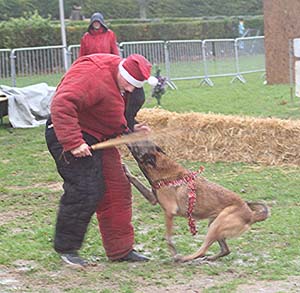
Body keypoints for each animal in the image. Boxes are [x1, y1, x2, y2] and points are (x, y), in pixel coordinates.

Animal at [126, 140, 270, 262]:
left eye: (137, 144)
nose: (126, 132)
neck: (161, 167)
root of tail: (251, 214)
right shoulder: (152, 198)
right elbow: (135, 179)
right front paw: (125, 169)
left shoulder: (169, 212)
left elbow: (168, 238)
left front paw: (173, 252)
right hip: (214, 224)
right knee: (225, 250)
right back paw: (210, 258)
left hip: (216, 225)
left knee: (203, 250)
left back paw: (184, 258)